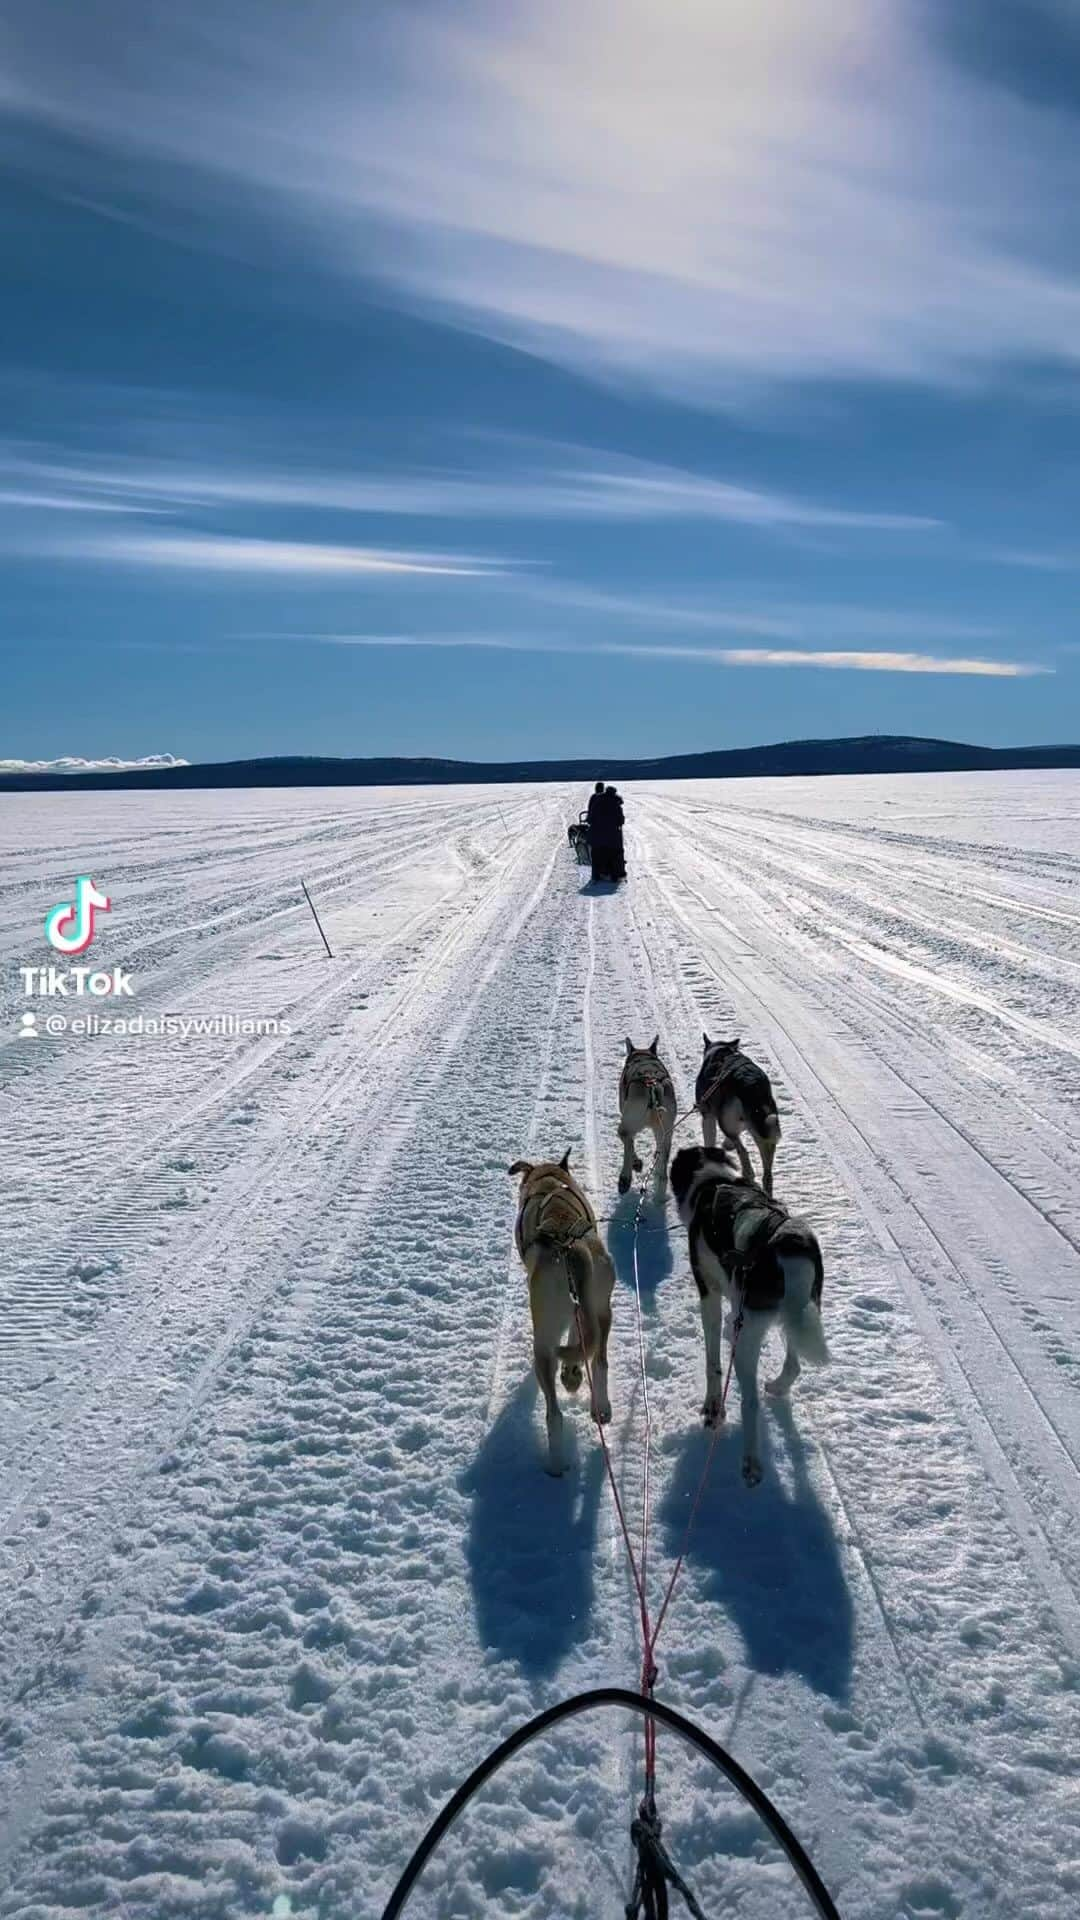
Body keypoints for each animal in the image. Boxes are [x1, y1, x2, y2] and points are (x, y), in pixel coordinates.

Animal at [507, 1144, 611, 1474]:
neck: (549, 1180)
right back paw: (599, 1404)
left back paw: (555, 1465)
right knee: (598, 1358)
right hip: (602, 1309)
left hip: (544, 1339)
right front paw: (573, 1373)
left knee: (554, 1414)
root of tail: (573, 1251)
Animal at [614, 1044, 672, 1190]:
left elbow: (630, 1143)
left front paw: (636, 1163)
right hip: (665, 1131)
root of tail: (653, 1088)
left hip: (628, 1122)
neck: (643, 1056)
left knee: (627, 1141)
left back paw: (626, 1175)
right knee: (663, 1160)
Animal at [664, 1144, 822, 1489]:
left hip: (748, 1339)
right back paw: (777, 1386)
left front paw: (713, 1410)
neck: (714, 1182)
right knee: (793, 1365)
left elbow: (713, 1364)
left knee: (751, 1402)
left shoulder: (708, 1294)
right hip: (797, 1315)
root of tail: (783, 1239)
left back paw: (751, 1462)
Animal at [691, 1044, 776, 1190]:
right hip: (763, 1127)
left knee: (743, 1150)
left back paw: (748, 1172)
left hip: (727, 1122)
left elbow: (710, 1139)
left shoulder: (708, 1116)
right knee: (766, 1166)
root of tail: (750, 1084)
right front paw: (727, 1144)